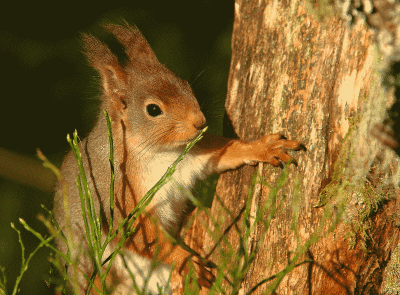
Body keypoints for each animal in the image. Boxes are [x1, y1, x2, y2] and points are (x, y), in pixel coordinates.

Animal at [52, 23, 304, 295]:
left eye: (184, 84)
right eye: (153, 109)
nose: (200, 122)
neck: (158, 153)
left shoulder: (190, 158)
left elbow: (222, 153)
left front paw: (261, 147)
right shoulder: (117, 193)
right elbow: (142, 236)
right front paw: (186, 261)